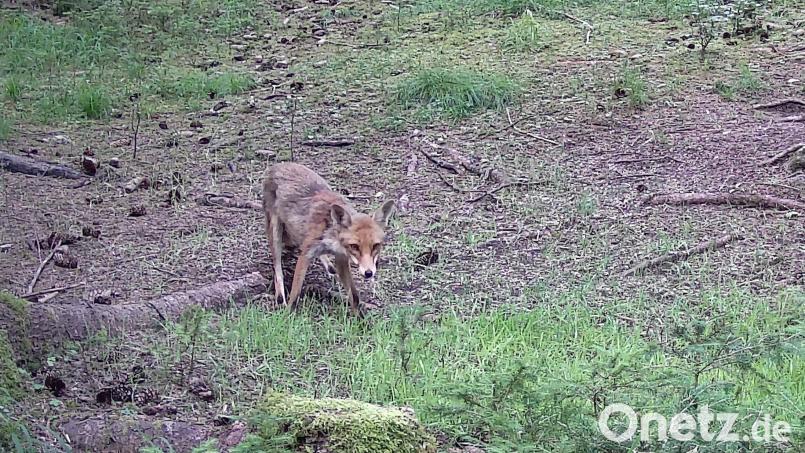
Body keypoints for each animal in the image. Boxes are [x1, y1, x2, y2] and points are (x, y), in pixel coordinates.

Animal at [262, 162, 396, 316]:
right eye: (355, 246)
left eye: (376, 246)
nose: (369, 273)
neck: (333, 240)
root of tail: (278, 165)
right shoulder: (306, 255)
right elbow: (295, 294)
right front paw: (289, 314)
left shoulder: (341, 259)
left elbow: (354, 296)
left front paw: (359, 319)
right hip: (275, 232)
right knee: (277, 267)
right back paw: (280, 297)